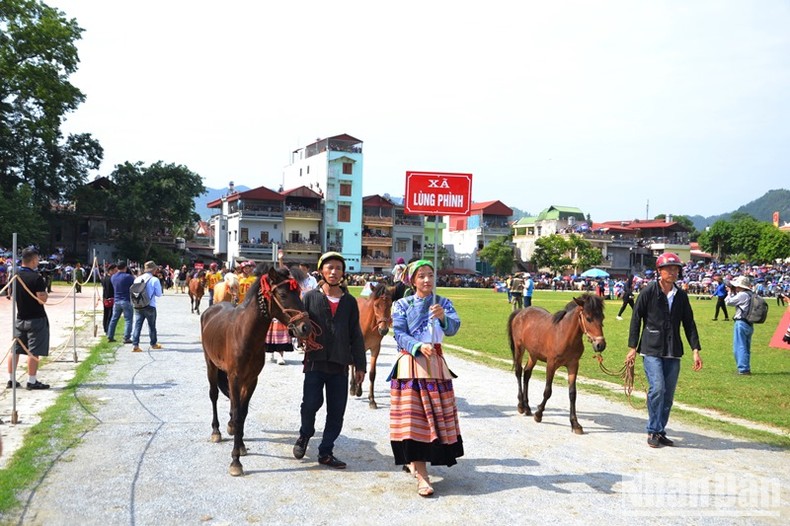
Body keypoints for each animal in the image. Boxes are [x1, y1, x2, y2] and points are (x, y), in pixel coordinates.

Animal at [201, 266, 312, 476]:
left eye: (299, 293)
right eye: (283, 294)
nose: (305, 327)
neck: (245, 334)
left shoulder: (251, 379)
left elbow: (242, 412)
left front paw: (241, 445)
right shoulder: (235, 377)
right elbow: (237, 413)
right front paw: (235, 461)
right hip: (211, 364)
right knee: (213, 395)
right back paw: (216, 431)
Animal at [352, 282, 396, 410]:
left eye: (390, 304)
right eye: (376, 305)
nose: (384, 330)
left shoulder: (375, 348)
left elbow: (371, 373)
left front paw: (372, 400)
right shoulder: (360, 347)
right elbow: (359, 368)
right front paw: (357, 390)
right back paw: (352, 387)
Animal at [508, 294, 608, 436]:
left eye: (602, 317)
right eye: (588, 318)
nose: (600, 345)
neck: (564, 335)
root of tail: (521, 312)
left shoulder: (573, 365)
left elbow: (572, 394)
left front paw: (575, 424)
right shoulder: (551, 365)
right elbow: (547, 391)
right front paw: (539, 414)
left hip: (533, 355)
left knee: (527, 374)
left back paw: (527, 408)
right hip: (519, 349)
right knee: (518, 371)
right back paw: (521, 405)